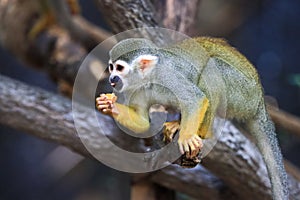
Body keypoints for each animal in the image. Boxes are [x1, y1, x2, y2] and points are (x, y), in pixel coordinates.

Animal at [96, 37, 288, 198]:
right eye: (111, 67)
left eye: (120, 68)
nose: (112, 78)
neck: (148, 79)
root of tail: (260, 101)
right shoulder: (135, 90)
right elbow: (143, 122)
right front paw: (110, 106)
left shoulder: (168, 76)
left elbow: (195, 98)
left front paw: (187, 137)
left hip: (244, 92)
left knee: (213, 67)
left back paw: (201, 133)